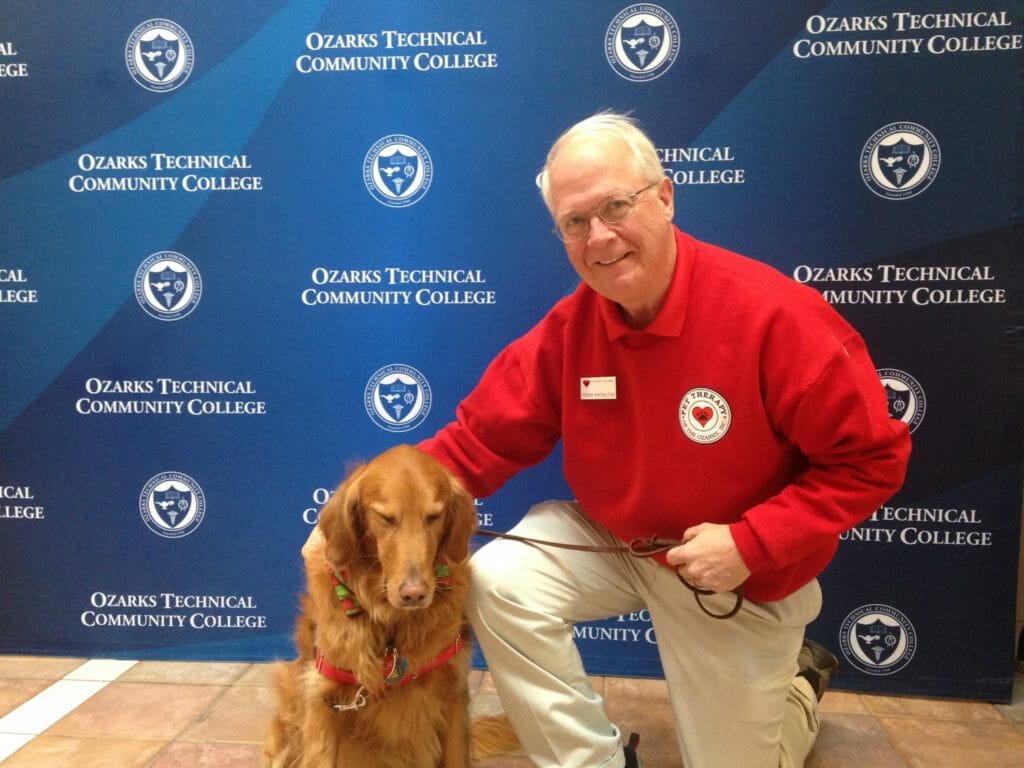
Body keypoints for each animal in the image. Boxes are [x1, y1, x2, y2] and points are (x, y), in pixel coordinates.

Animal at [268, 444, 483, 768]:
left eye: (434, 516)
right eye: (385, 517)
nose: (414, 594)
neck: (392, 624)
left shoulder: (453, 693)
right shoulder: (324, 699)